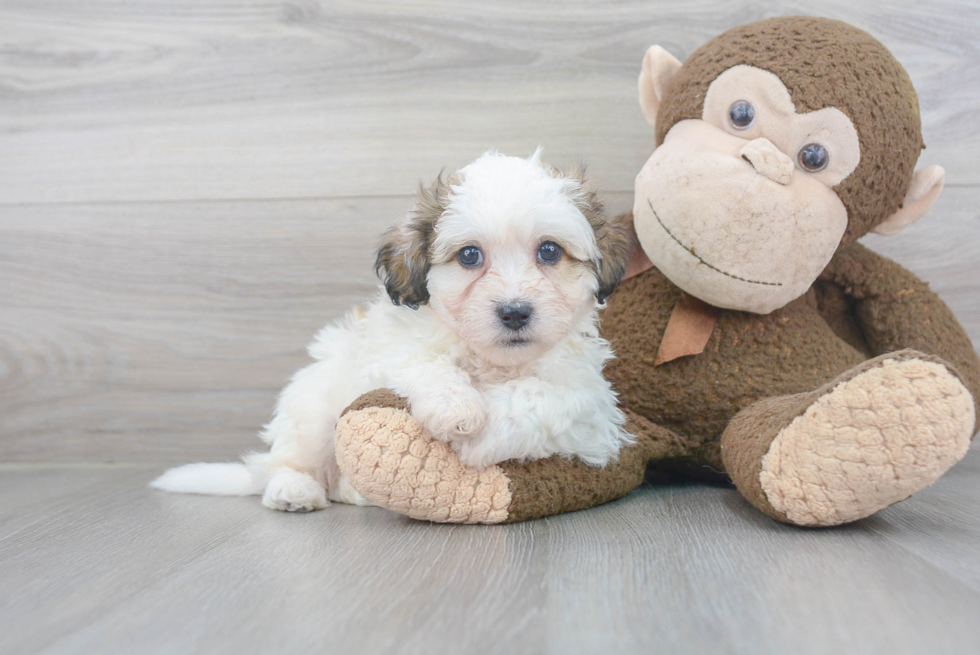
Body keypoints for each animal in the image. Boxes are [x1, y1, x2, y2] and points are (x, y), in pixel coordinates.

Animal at [149, 151, 632, 510]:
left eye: (549, 251)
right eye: (470, 256)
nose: (515, 312)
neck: (493, 362)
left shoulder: (590, 407)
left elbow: (541, 398)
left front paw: (482, 440)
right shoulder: (390, 350)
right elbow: (422, 362)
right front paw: (456, 408)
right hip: (314, 405)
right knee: (287, 459)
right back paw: (295, 489)